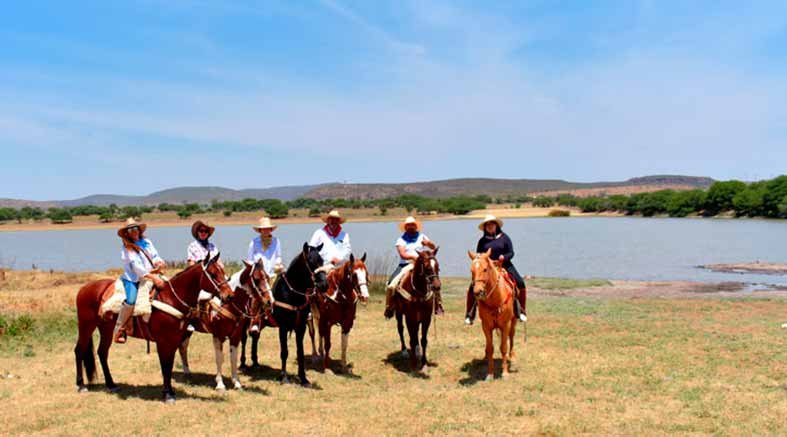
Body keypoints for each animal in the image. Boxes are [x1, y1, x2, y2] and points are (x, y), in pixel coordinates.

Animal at [72, 252, 234, 402]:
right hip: (86, 325)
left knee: (102, 352)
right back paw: (81, 385)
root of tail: (84, 288)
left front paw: (170, 392)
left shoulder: (173, 340)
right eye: (213, 274)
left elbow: (169, 366)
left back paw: (111, 384)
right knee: (79, 350)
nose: (229, 296)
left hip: (106, 329)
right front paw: (167, 394)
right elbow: (165, 365)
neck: (171, 298)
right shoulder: (163, 342)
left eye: (222, 271)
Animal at [179, 258, 274, 388]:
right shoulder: (218, 335)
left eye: (268, 277)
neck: (228, 304)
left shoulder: (236, 336)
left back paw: (187, 372)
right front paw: (220, 384)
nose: (270, 301)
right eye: (256, 278)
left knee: (183, 346)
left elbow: (233, 357)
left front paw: (236, 382)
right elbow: (219, 358)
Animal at [272, 242, 328, 384]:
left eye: (322, 261)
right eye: (311, 261)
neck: (292, 293)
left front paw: (303, 378)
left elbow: (300, 352)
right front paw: (284, 377)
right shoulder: (283, 327)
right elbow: (284, 352)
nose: (324, 285)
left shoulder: (301, 327)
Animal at [470, 247, 520, 380]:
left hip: (513, 322)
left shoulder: (505, 325)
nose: (477, 292)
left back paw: (512, 356)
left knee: (511, 337)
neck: (495, 299)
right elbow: (490, 348)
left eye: (485, 269)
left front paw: (505, 373)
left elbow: (503, 347)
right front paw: (490, 374)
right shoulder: (486, 326)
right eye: (471, 270)